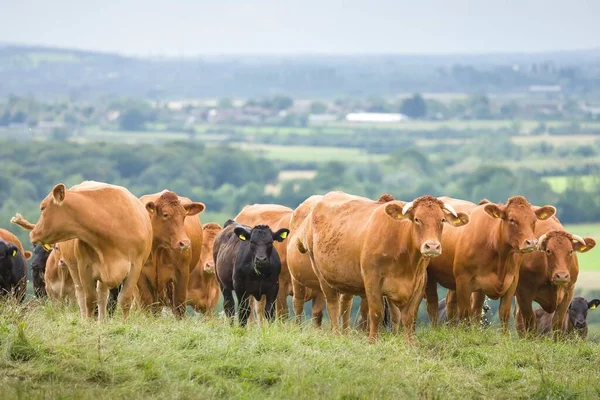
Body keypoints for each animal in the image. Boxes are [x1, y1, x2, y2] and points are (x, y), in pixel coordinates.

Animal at [25, 181, 152, 318]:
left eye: (42, 208)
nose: (32, 233)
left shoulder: (136, 267)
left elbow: (124, 300)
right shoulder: (84, 267)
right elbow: (90, 299)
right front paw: (89, 322)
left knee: (102, 295)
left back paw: (102, 320)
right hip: (73, 268)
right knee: (80, 293)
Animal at [138, 189, 204, 318]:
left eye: (184, 216)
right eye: (165, 214)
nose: (185, 243)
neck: (157, 249)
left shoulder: (182, 273)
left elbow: (179, 305)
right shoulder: (141, 274)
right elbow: (147, 303)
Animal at [298, 191, 468, 340]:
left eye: (442, 220)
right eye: (417, 219)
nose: (432, 246)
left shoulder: (419, 283)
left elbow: (408, 317)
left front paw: (410, 344)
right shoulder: (372, 280)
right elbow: (376, 313)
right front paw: (373, 341)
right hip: (322, 275)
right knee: (332, 304)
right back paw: (337, 335)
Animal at [424, 196, 556, 332]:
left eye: (534, 220)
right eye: (511, 220)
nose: (532, 242)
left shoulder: (512, 282)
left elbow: (504, 314)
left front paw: (504, 335)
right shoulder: (463, 280)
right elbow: (465, 314)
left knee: (454, 306)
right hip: (431, 276)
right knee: (433, 305)